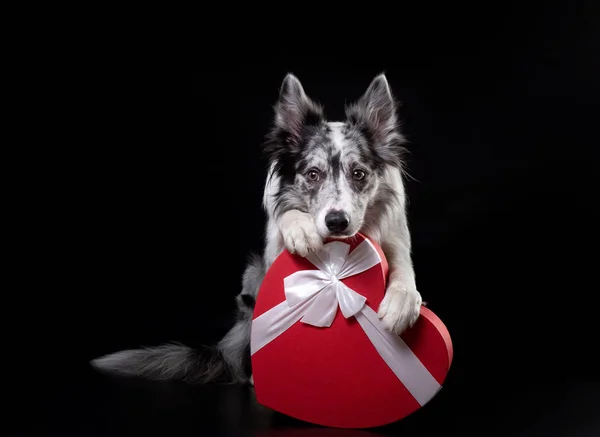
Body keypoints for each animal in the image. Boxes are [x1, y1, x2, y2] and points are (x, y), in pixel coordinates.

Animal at [92, 74, 422, 384]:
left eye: (359, 174)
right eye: (313, 174)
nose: (337, 222)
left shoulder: (396, 242)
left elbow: (404, 272)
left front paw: (402, 302)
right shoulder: (273, 253)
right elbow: (287, 219)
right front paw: (300, 230)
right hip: (251, 276)